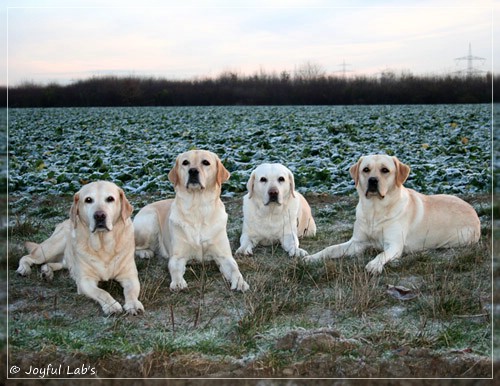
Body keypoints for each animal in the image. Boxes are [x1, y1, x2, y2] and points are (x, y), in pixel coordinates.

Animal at [17, 181, 143, 314]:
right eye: (88, 200)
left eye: (110, 199)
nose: (99, 215)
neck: (103, 245)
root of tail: (63, 221)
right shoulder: (85, 280)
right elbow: (101, 292)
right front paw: (111, 305)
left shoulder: (130, 276)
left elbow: (131, 291)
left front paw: (133, 304)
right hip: (50, 249)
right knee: (28, 257)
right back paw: (24, 269)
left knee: (58, 264)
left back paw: (47, 272)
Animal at [134, 151, 249, 292]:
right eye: (185, 162)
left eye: (205, 162)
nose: (193, 171)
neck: (197, 208)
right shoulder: (177, 257)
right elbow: (175, 269)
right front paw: (178, 283)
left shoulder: (224, 256)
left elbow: (234, 268)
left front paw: (240, 281)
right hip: (150, 221)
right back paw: (145, 252)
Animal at [304, 155, 480, 274]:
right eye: (365, 169)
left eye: (385, 170)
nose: (373, 180)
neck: (375, 211)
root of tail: (473, 211)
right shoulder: (357, 242)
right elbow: (330, 249)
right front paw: (312, 257)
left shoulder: (394, 245)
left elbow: (381, 254)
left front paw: (374, 265)